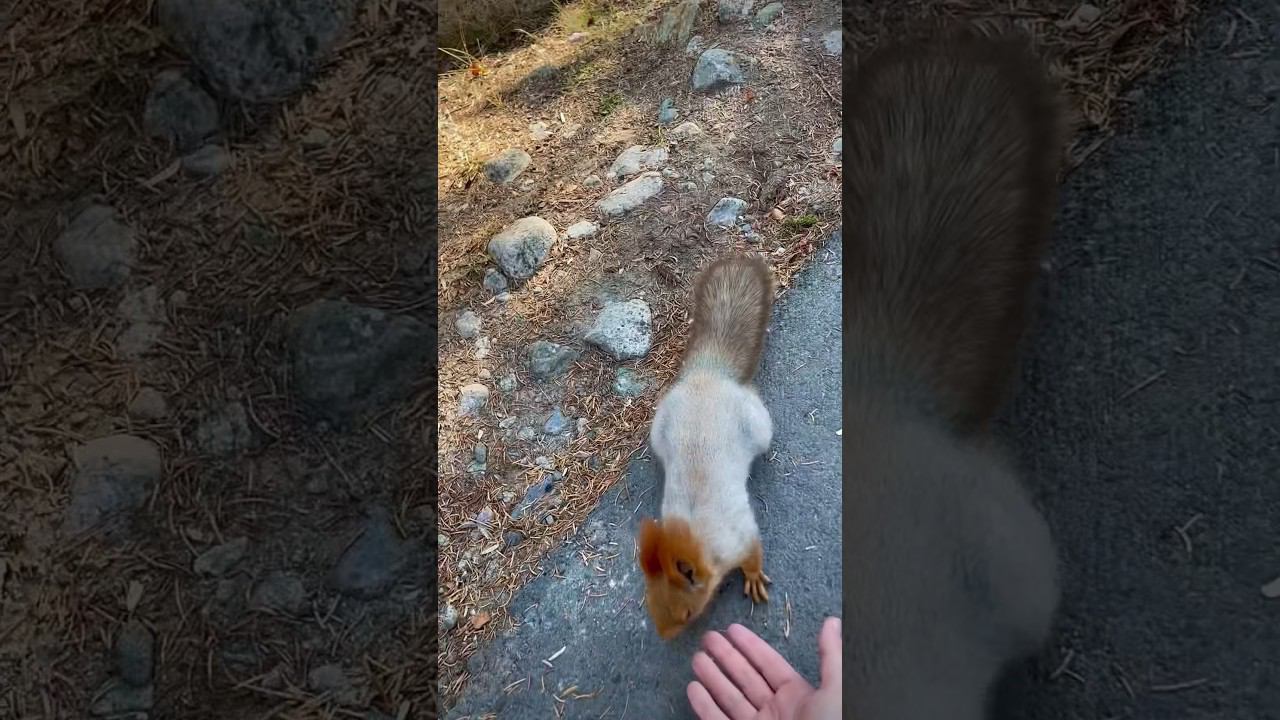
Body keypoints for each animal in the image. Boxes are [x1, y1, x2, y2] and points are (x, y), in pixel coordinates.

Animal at [637, 253, 776, 640]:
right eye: (649, 602)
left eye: (686, 613)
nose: (666, 638)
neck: (693, 535)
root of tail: (707, 375)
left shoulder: (741, 533)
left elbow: (754, 553)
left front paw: (753, 577)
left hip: (758, 424)